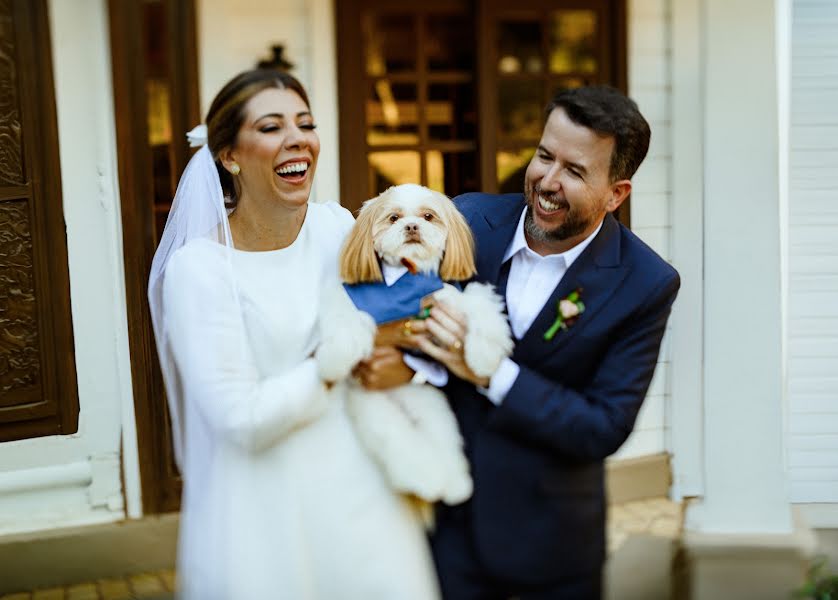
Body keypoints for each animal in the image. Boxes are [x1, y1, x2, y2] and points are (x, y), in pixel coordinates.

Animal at [316, 184, 512, 520]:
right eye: (394, 217)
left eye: (428, 216)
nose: (411, 227)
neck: (403, 281)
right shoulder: (351, 300)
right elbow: (343, 321)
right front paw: (334, 359)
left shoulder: (445, 299)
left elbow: (478, 306)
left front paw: (485, 355)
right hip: (383, 418)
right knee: (405, 452)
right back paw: (429, 482)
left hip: (437, 415)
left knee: (445, 447)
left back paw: (456, 485)